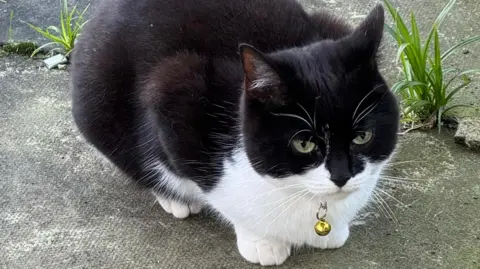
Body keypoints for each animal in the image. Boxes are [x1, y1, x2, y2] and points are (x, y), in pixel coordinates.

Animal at [71, 0, 400, 264]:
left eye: (362, 136)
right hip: (97, 101)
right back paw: (174, 198)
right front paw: (262, 241)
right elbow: (218, 193)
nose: (342, 176)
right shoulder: (174, 92)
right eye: (304, 144)